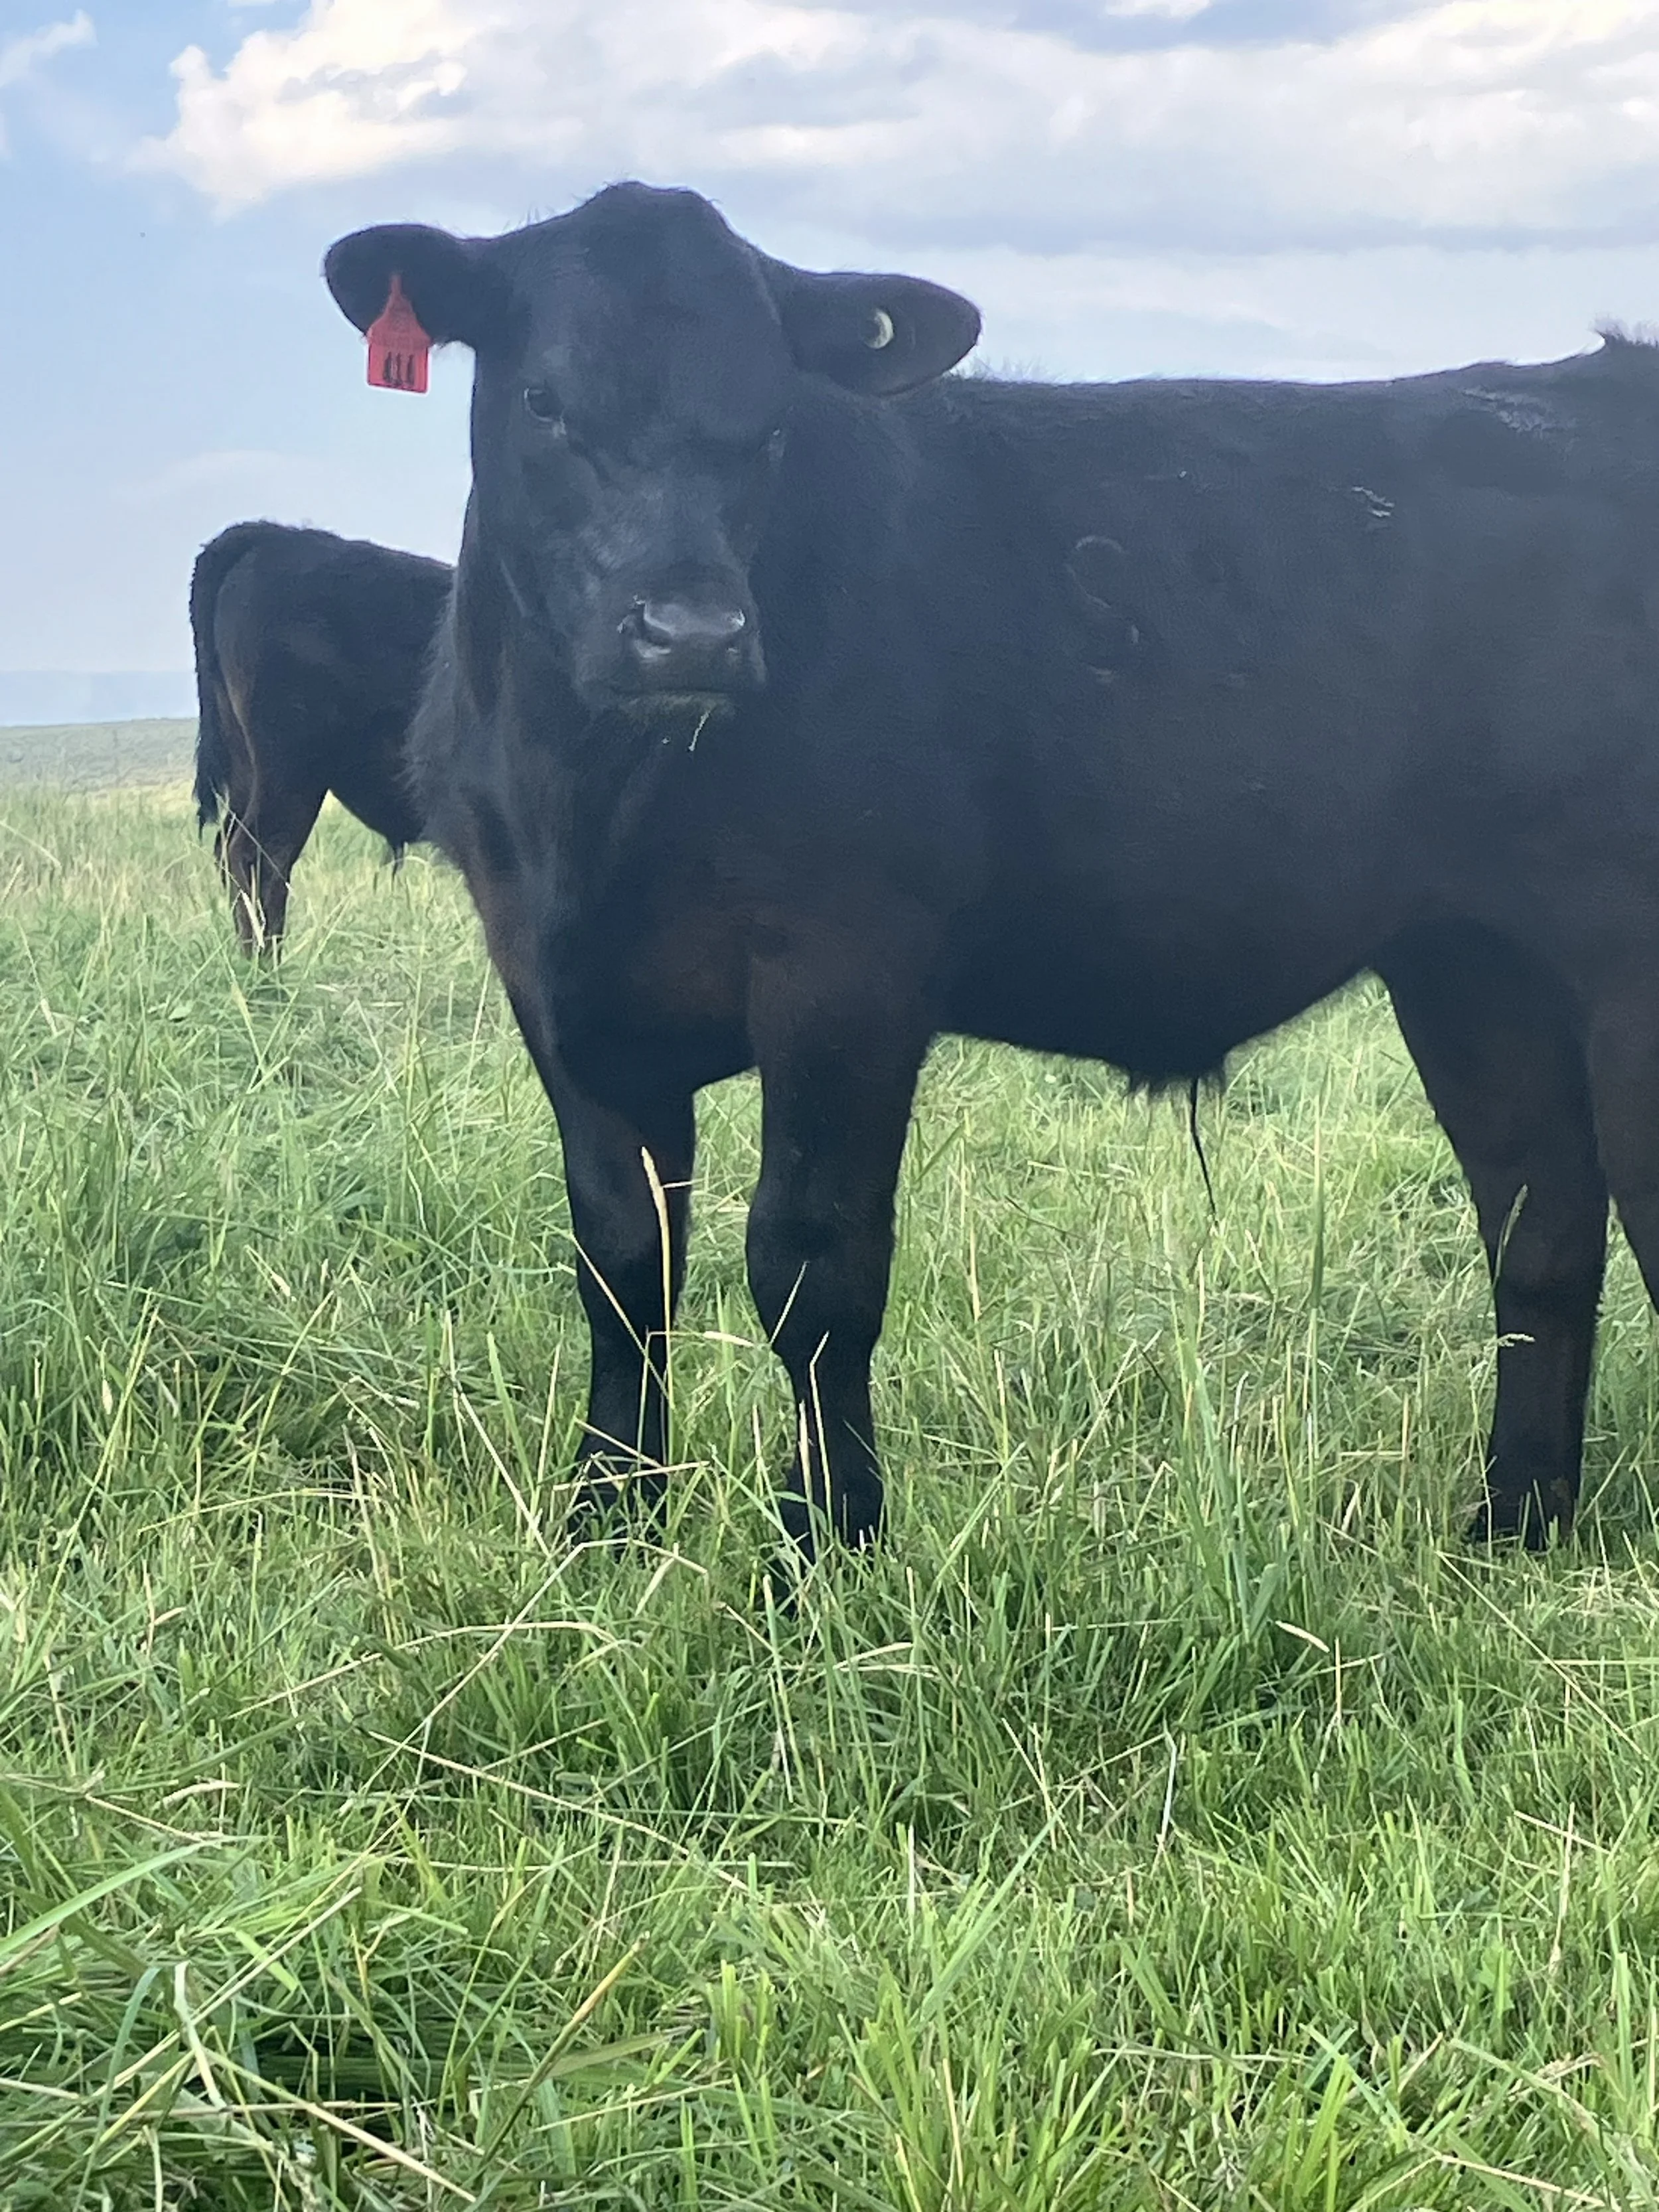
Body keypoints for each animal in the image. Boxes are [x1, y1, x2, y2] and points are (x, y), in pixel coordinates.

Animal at [324, 179, 1659, 1556]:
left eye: (774, 418)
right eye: (543, 399)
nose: (691, 634)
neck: (594, 805)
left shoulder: (846, 967)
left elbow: (811, 1261)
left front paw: (828, 1540)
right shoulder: (552, 979)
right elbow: (623, 1260)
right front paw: (608, 1519)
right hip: (1472, 963)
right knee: (1543, 1223)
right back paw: (1516, 1518)